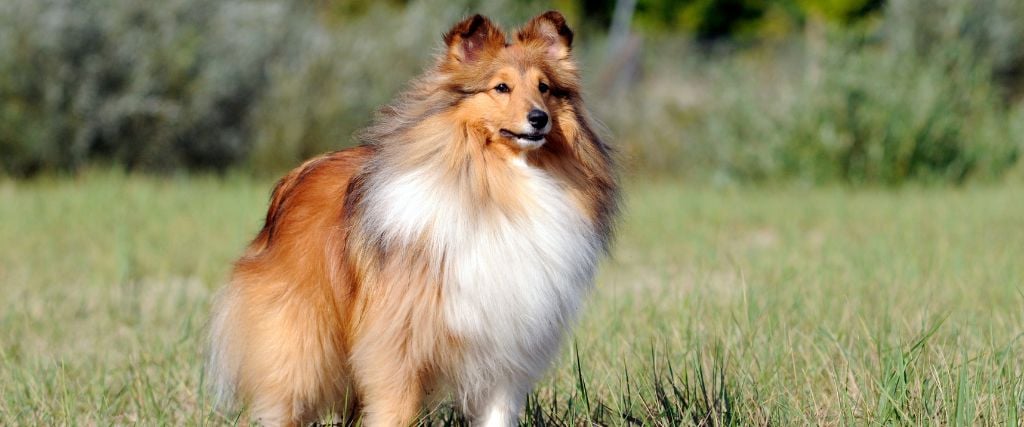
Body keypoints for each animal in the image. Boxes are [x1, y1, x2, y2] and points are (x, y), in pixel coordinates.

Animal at [205, 10, 614, 425]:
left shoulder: (507, 349)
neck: (499, 184)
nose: (539, 119)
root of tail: (293, 180)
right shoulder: (396, 344)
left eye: (545, 88)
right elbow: (395, 409)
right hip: (301, 341)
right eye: (501, 87)